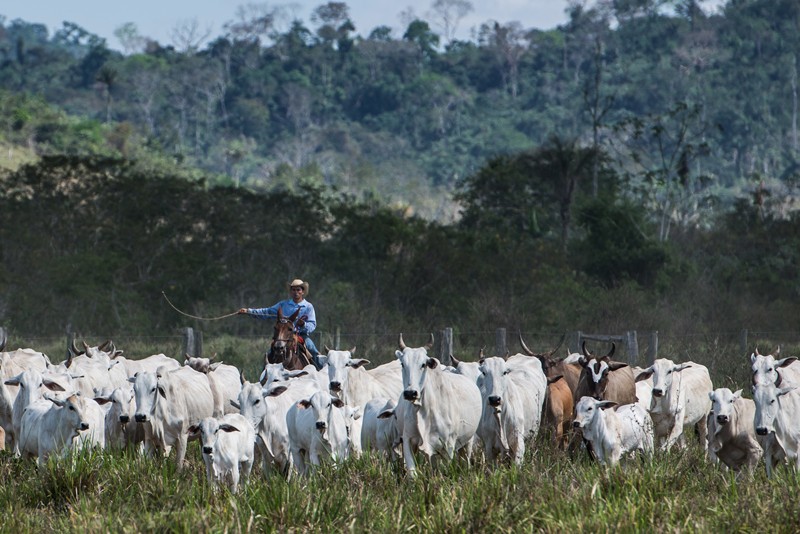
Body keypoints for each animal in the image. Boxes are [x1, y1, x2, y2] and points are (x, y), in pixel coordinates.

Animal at [396, 338, 482, 480]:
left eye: (423, 364)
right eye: (402, 364)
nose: (410, 393)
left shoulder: (448, 445)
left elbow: (445, 471)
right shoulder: (408, 439)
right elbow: (412, 473)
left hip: (468, 441)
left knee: (465, 461)